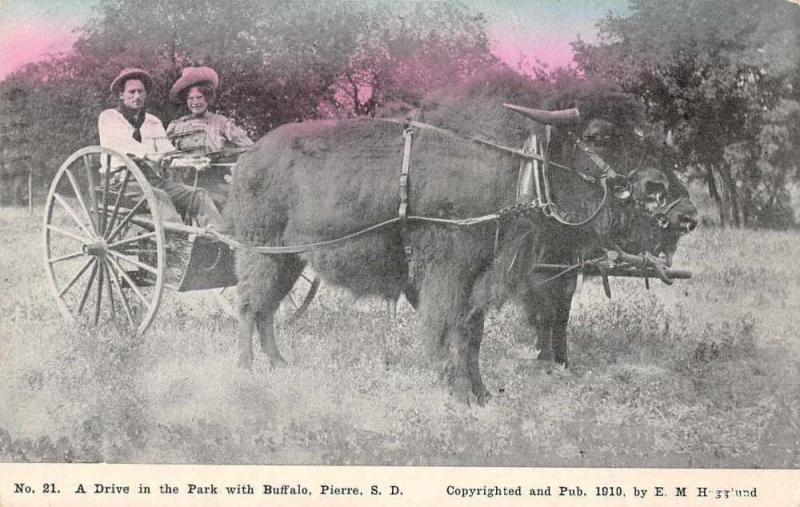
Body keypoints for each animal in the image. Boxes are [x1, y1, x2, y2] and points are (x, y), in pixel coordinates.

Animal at [228, 70, 692, 404]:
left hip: (291, 258)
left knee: (266, 308)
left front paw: (482, 394)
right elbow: (453, 328)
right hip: (261, 252)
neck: (521, 159)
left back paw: (280, 364)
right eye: (597, 135)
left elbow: (473, 334)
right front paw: (460, 393)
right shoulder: (451, 272)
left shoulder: (483, 276)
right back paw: (248, 370)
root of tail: (248, 156)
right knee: (251, 306)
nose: (683, 211)